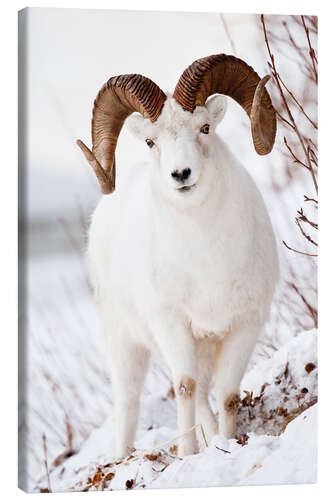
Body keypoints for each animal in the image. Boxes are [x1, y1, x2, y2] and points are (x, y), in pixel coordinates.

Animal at [77, 53, 278, 458]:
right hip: (126, 343)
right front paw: (188, 455)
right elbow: (184, 388)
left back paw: (212, 438)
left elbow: (227, 395)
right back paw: (124, 454)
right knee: (130, 401)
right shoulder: (172, 326)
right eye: (151, 141)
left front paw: (226, 444)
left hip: (201, 346)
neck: (208, 261)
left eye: (205, 128)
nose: (181, 174)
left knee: (204, 396)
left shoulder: (243, 326)